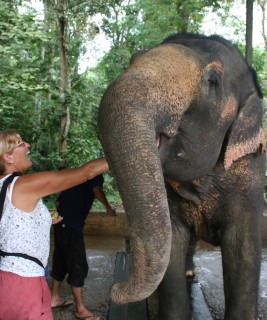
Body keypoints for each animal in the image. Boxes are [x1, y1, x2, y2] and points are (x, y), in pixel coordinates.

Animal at [97, 33, 266, 320]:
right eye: (134, 58)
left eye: (213, 81)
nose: (115, 287)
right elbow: (174, 244)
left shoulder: (249, 176)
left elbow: (243, 251)